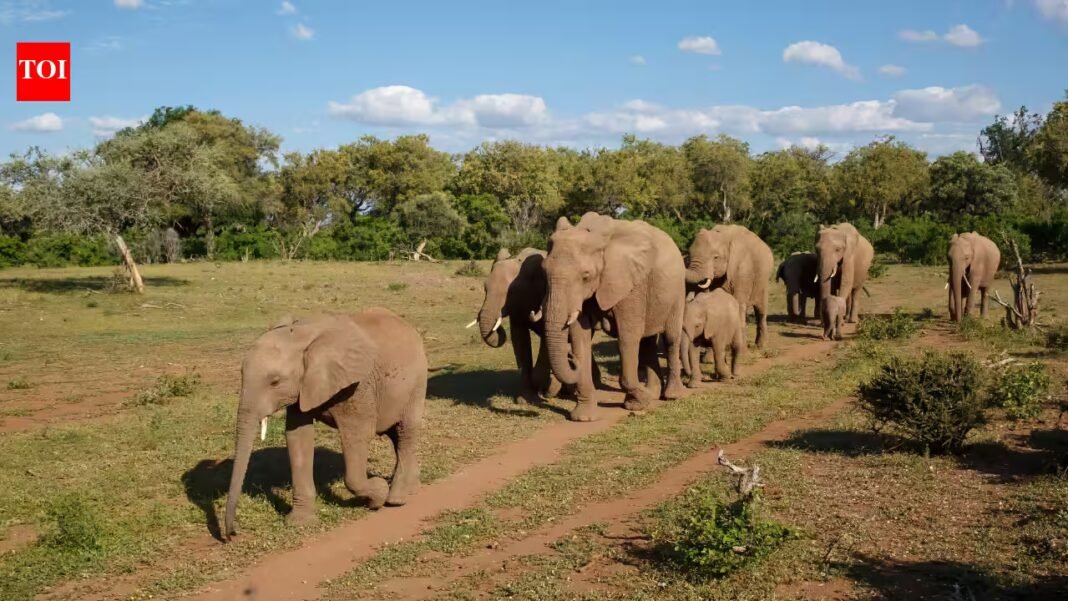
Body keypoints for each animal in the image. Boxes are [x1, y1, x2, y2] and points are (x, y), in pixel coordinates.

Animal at [224, 309, 426, 538]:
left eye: (275, 382)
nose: (232, 534)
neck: (302, 335)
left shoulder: (356, 385)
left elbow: (357, 435)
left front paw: (378, 493)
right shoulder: (303, 386)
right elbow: (298, 437)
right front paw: (300, 523)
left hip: (417, 382)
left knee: (405, 432)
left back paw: (396, 499)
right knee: (396, 436)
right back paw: (411, 489)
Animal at [542, 212, 686, 421]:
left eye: (586, 276)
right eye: (543, 272)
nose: (570, 358)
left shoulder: (631, 282)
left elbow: (628, 337)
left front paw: (638, 403)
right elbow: (580, 338)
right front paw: (584, 418)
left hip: (677, 290)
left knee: (671, 338)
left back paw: (672, 395)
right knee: (647, 341)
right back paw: (653, 393)